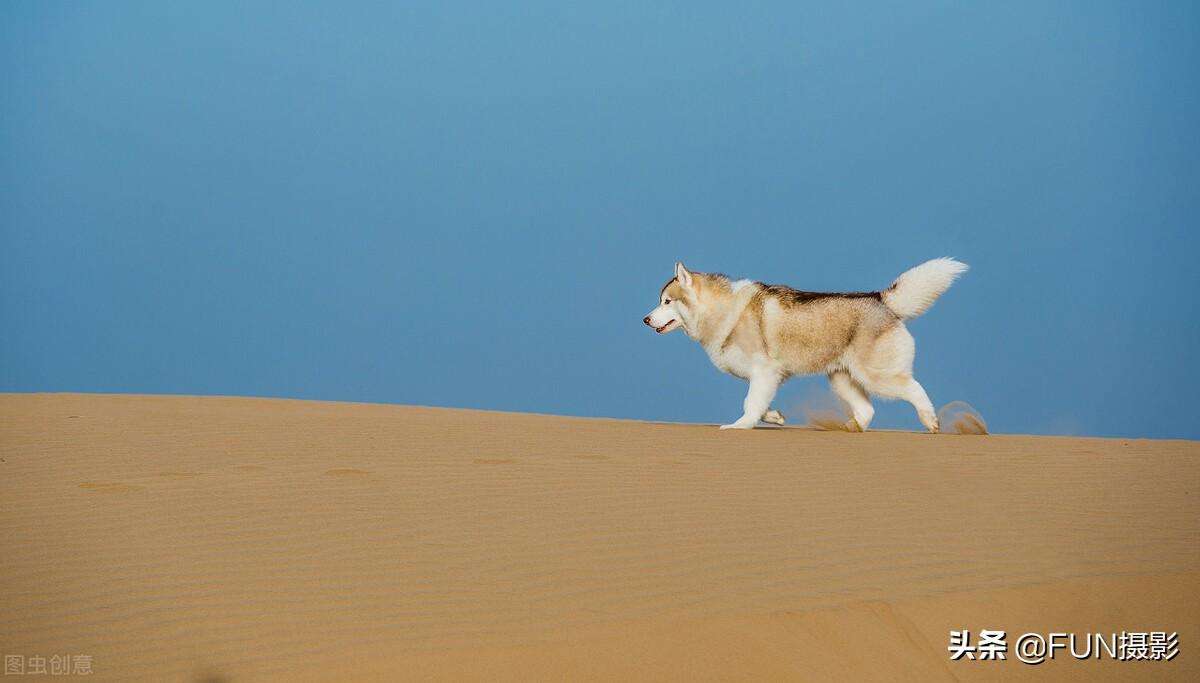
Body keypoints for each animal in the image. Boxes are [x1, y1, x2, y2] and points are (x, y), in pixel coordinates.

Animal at [643, 258, 969, 429]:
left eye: (667, 302)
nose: (645, 319)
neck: (722, 312)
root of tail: (880, 299)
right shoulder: (767, 378)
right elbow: (759, 404)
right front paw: (774, 417)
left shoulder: (764, 372)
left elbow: (750, 403)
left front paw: (739, 426)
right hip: (842, 380)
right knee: (867, 411)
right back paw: (849, 429)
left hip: (878, 377)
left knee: (915, 389)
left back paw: (930, 421)